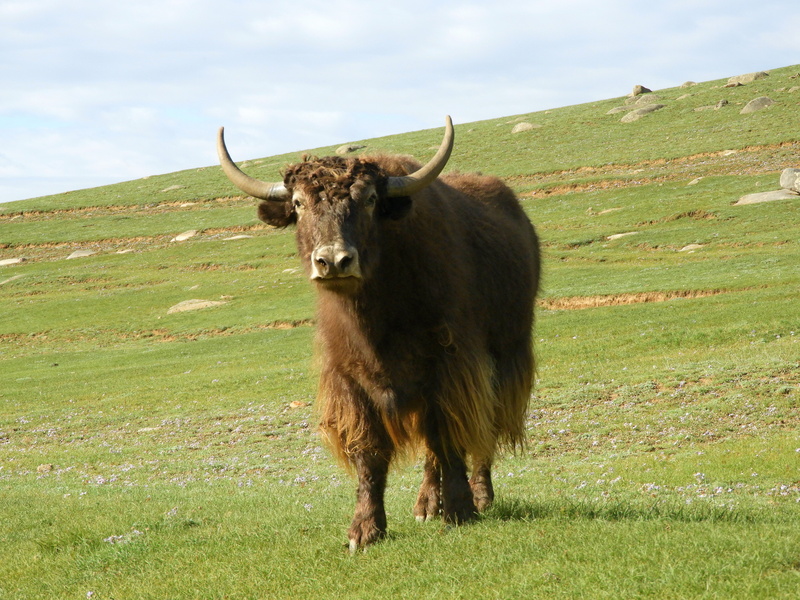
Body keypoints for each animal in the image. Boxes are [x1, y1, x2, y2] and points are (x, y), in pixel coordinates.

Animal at [217, 117, 540, 551]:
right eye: (298, 204)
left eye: (370, 199)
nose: (334, 261)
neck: (377, 313)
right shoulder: (350, 382)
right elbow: (369, 454)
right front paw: (365, 530)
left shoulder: (451, 368)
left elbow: (449, 436)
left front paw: (460, 511)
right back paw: (426, 505)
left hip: (505, 354)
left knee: (484, 427)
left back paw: (480, 496)